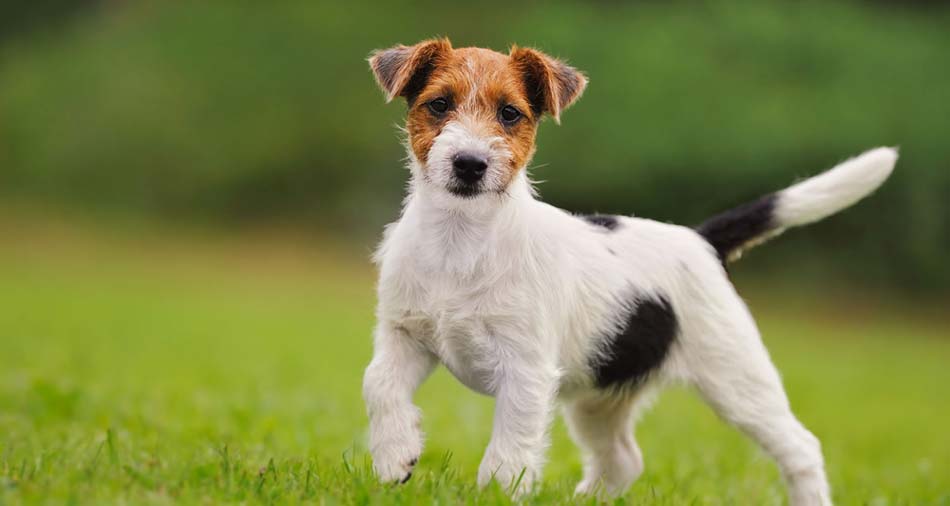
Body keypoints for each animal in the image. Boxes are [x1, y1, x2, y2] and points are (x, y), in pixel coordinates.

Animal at [362, 37, 900, 504]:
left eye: (509, 113)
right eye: (438, 104)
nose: (469, 164)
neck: (461, 238)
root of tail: (701, 240)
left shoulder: (526, 370)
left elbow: (510, 446)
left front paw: (494, 493)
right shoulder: (405, 334)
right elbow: (379, 384)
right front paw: (395, 455)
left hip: (737, 379)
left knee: (800, 448)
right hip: (600, 395)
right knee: (623, 459)